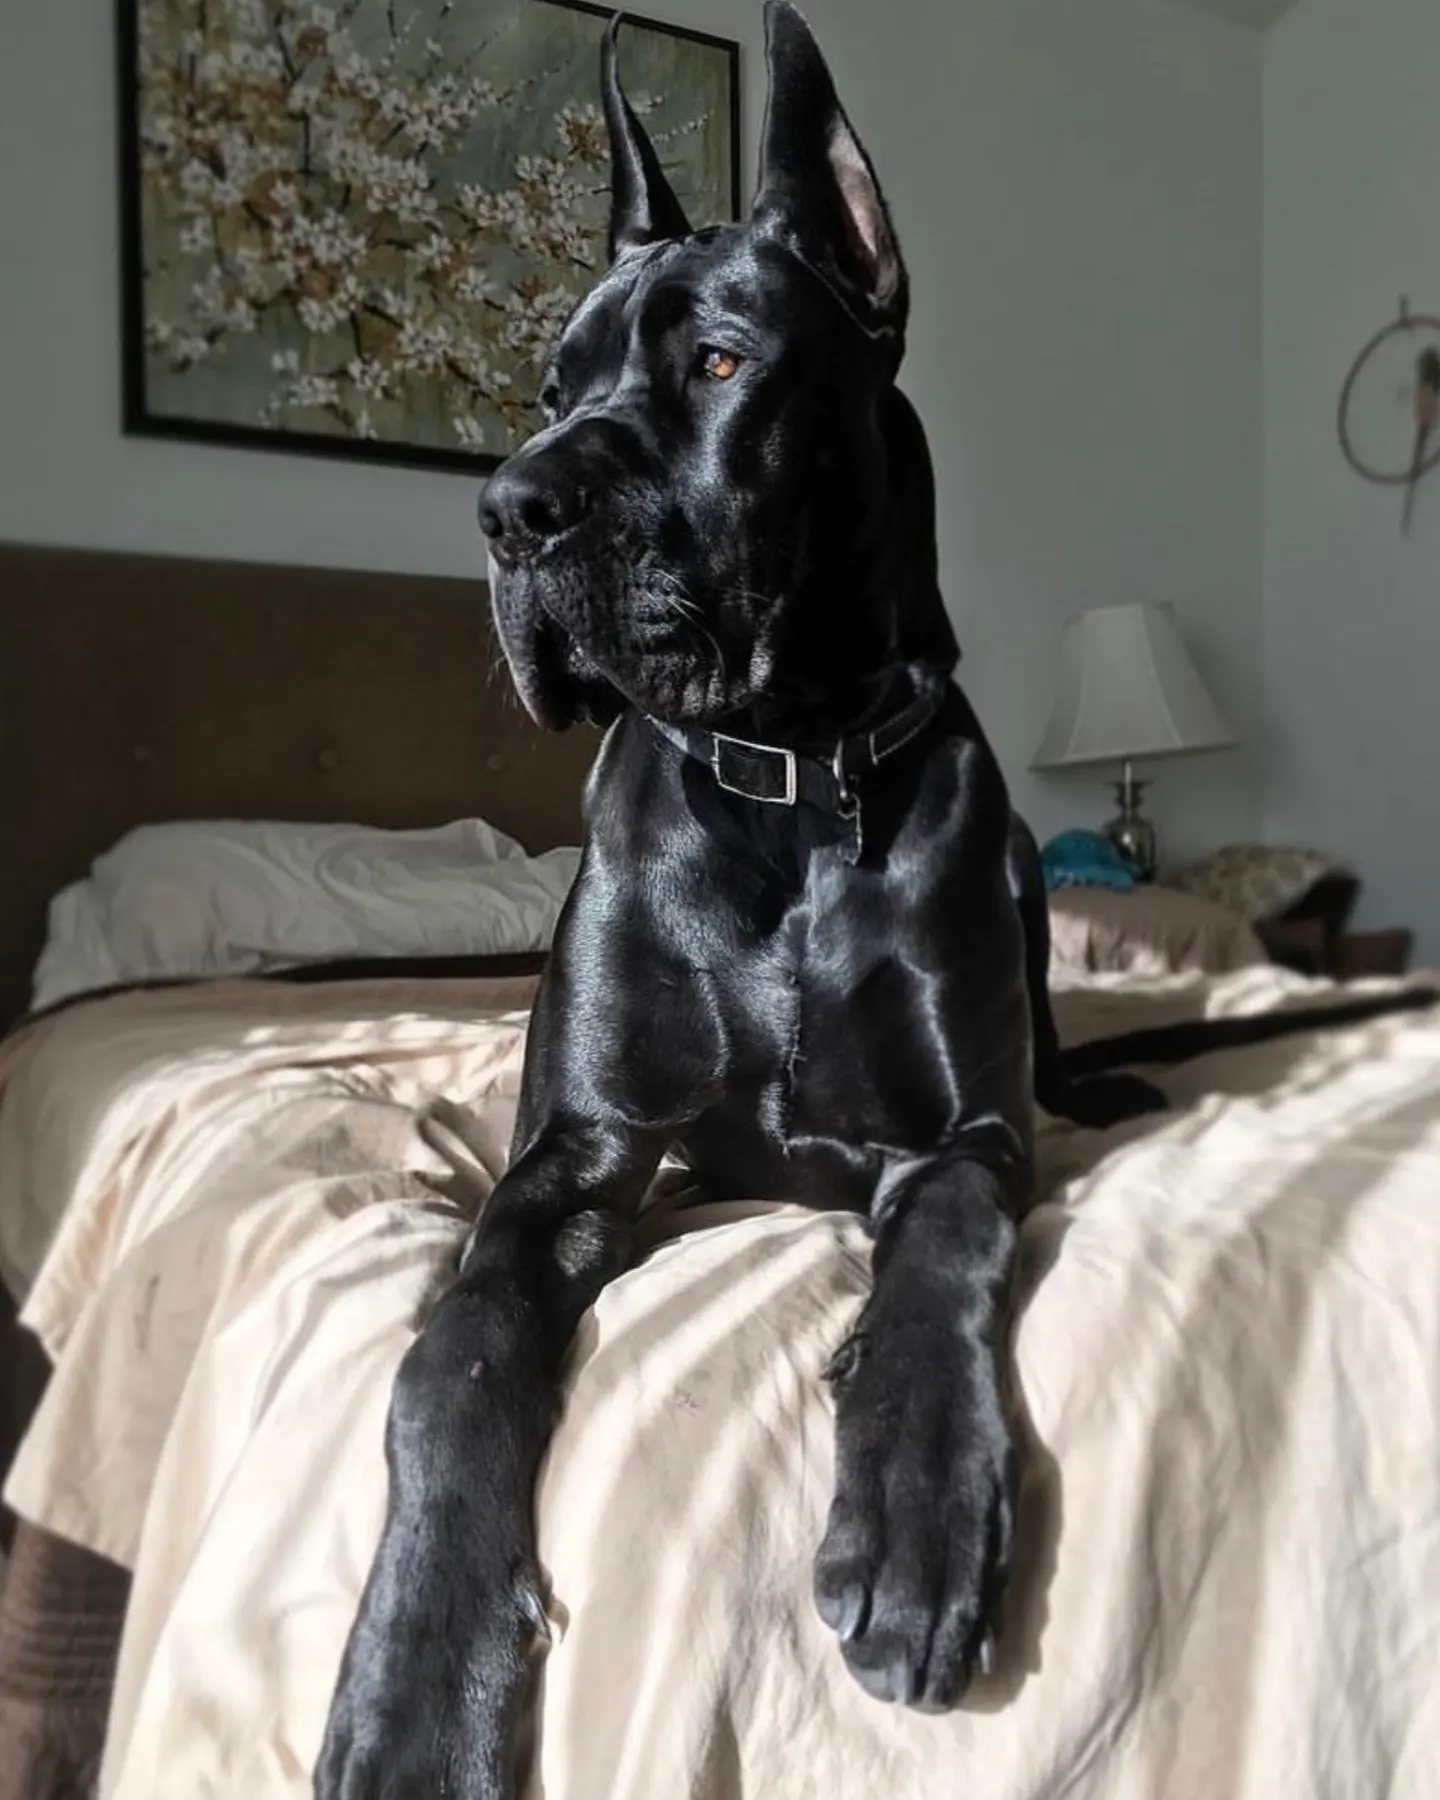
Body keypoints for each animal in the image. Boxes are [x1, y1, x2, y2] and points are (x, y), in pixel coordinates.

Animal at [315, 7, 1425, 1792]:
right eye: (550, 389)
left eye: (719, 364)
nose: (508, 511)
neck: (793, 773)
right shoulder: (577, 1158)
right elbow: (454, 1353)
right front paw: (414, 1681)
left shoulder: (960, 1134)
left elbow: (944, 1247)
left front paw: (912, 1511)